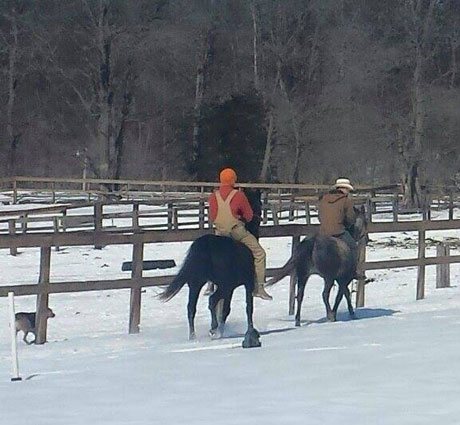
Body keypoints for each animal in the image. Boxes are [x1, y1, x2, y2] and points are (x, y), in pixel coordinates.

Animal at [159, 187, 262, 346]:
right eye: (259, 204)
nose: (259, 218)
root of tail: (205, 245)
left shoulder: (230, 288)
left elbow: (225, 310)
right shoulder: (245, 284)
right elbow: (246, 307)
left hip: (196, 283)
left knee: (191, 307)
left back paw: (193, 336)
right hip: (224, 285)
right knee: (212, 301)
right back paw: (213, 329)